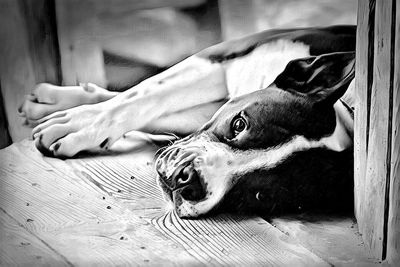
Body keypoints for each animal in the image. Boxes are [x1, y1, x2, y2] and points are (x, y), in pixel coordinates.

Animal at [18, 25, 356, 219]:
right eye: (238, 125)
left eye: (262, 195)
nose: (188, 180)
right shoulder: (221, 58)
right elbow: (145, 96)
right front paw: (79, 126)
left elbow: (155, 109)